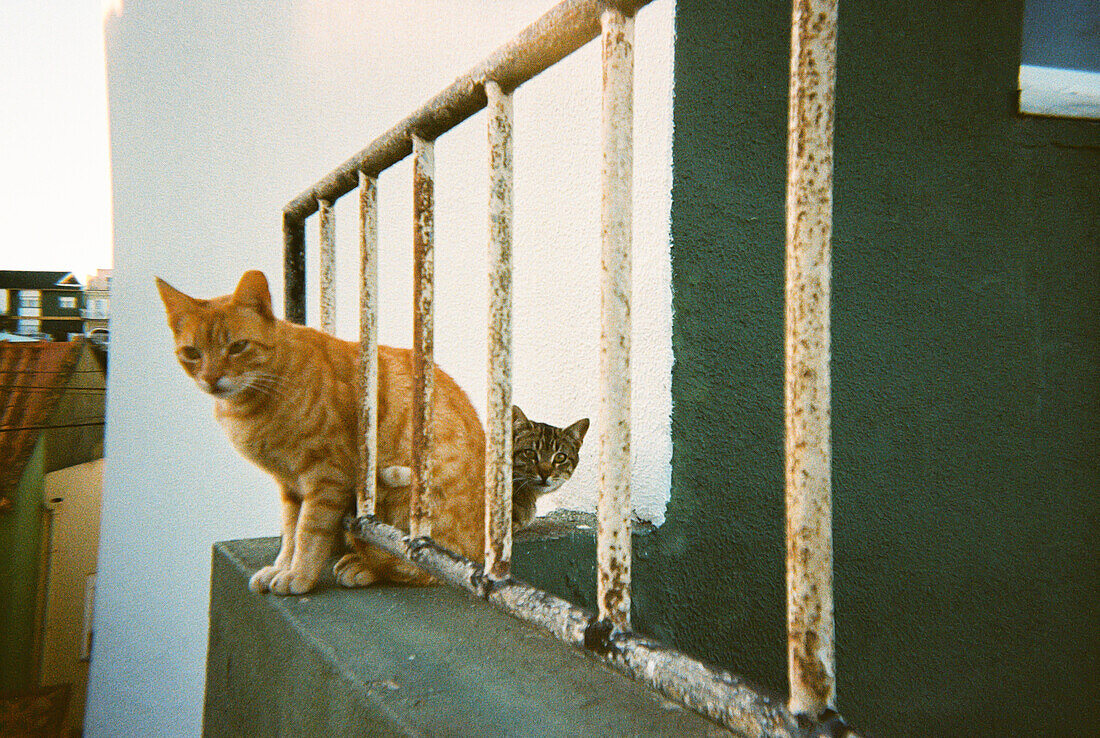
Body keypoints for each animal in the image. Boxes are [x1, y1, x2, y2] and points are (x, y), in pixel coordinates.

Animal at [157, 269, 484, 593]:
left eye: (238, 347)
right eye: (192, 353)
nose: (211, 378)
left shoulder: (326, 476)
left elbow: (308, 532)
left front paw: (298, 576)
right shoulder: (289, 485)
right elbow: (290, 532)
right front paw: (281, 567)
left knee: (420, 567)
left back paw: (362, 566)